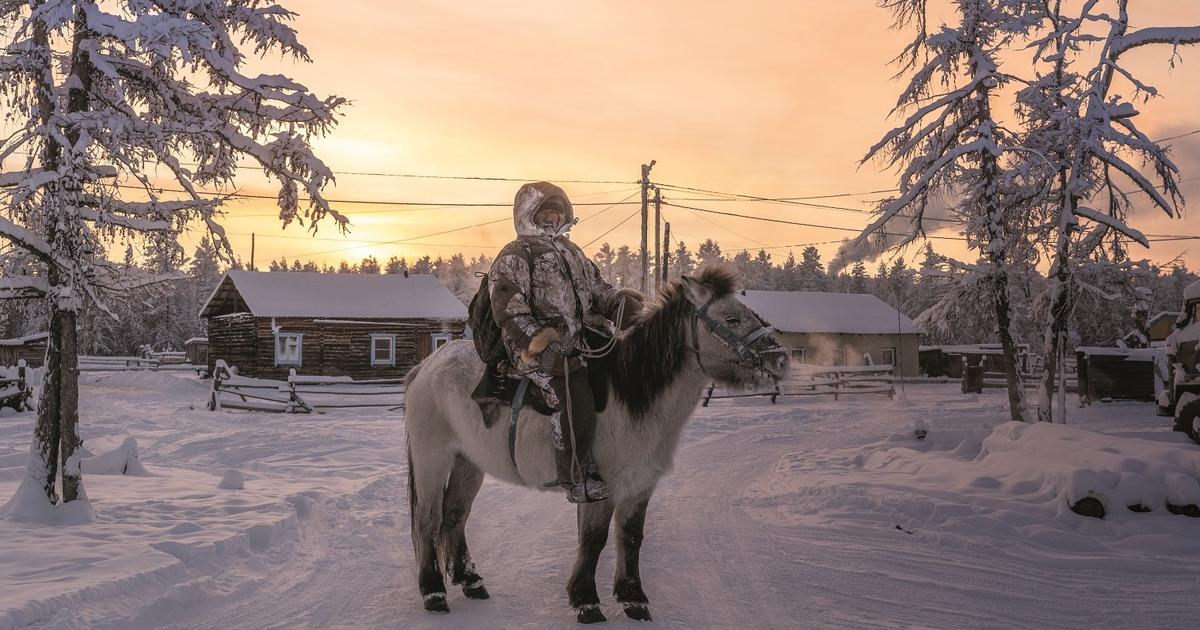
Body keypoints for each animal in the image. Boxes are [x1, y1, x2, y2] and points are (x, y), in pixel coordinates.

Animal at [403, 264, 792, 619]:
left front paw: (633, 598)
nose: (781, 358)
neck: (632, 398)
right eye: (732, 318)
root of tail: (426, 366)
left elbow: (631, 536)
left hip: (468, 462)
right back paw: (433, 592)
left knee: (455, 515)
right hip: (432, 459)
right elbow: (594, 539)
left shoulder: (639, 484)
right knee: (428, 519)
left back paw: (471, 581)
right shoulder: (600, 485)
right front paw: (586, 600)